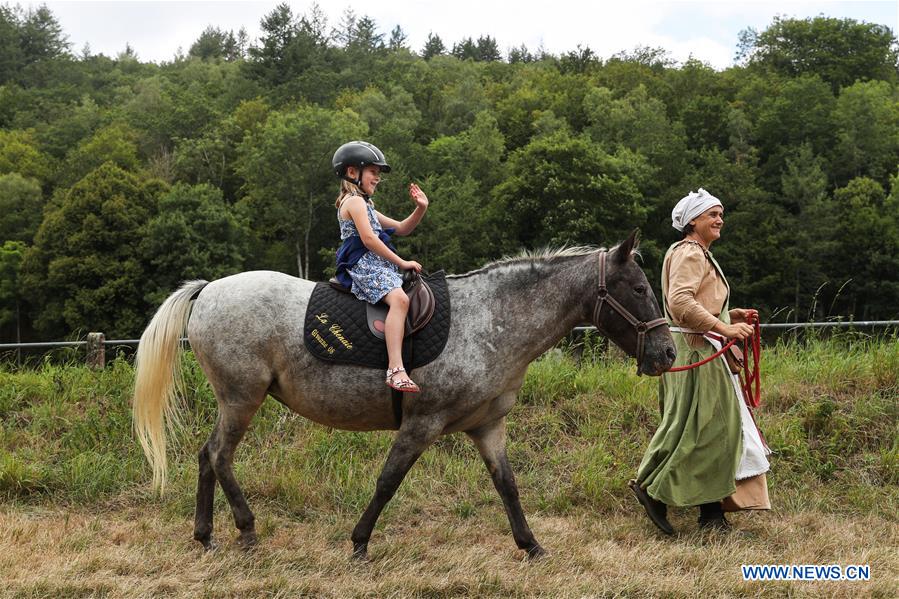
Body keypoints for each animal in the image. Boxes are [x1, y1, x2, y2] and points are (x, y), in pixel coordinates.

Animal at [134, 232, 676, 560]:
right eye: (638, 288)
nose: (668, 352)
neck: (493, 321)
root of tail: (209, 290)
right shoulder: (421, 424)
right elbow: (387, 482)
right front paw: (359, 543)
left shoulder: (488, 426)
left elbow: (508, 485)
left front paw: (531, 545)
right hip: (241, 399)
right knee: (220, 456)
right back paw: (246, 530)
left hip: (234, 402)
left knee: (207, 455)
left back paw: (206, 535)